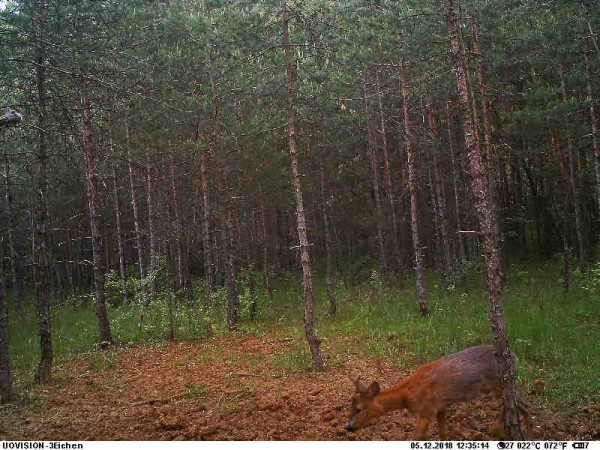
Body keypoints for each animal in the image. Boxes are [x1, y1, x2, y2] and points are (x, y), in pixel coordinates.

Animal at [345, 345, 531, 440]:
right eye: (350, 406)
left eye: (359, 409)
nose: (348, 427)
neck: (408, 395)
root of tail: (515, 356)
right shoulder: (441, 407)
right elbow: (443, 433)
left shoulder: (427, 409)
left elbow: (416, 438)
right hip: (495, 386)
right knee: (511, 403)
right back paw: (497, 431)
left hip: (499, 382)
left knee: (521, 403)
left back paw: (528, 433)